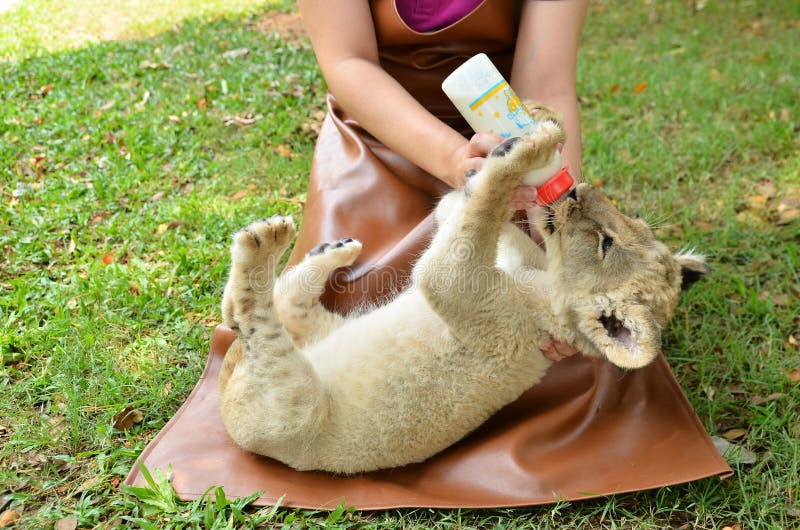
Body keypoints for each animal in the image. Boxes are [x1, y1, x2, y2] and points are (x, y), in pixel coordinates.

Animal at [217, 118, 709, 474]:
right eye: (634, 227)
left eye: (607, 243)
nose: (577, 188)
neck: (542, 281)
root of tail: (226, 387)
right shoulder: (511, 253)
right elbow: (467, 209)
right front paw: (527, 138)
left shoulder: (463, 290)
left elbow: (474, 222)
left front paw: (520, 151)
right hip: (317, 331)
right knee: (273, 309)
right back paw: (332, 250)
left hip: (291, 408)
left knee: (256, 323)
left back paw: (264, 243)